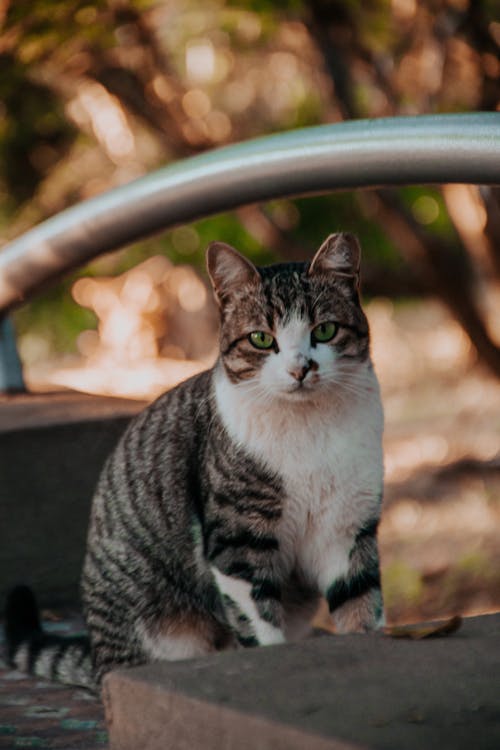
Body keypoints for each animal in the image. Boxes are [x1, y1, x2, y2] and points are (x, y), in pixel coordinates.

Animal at [4, 234, 382, 692]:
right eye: (261, 339)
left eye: (324, 330)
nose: (300, 369)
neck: (310, 430)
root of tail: (97, 656)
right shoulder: (237, 541)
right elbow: (261, 628)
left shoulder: (349, 530)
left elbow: (362, 610)